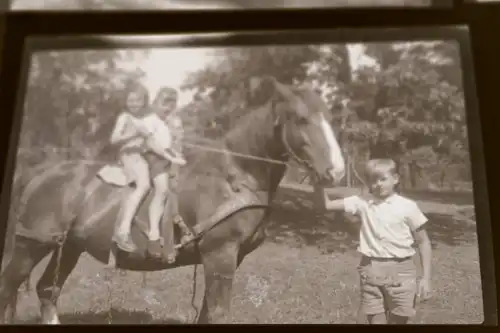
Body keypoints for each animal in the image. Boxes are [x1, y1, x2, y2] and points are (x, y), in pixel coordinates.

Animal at [0, 76, 344, 322]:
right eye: (301, 119)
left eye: (329, 117)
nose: (336, 171)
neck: (235, 176)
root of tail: (38, 173)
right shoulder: (220, 255)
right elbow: (218, 314)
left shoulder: (229, 258)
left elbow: (206, 314)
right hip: (31, 245)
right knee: (9, 287)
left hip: (68, 247)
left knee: (47, 290)